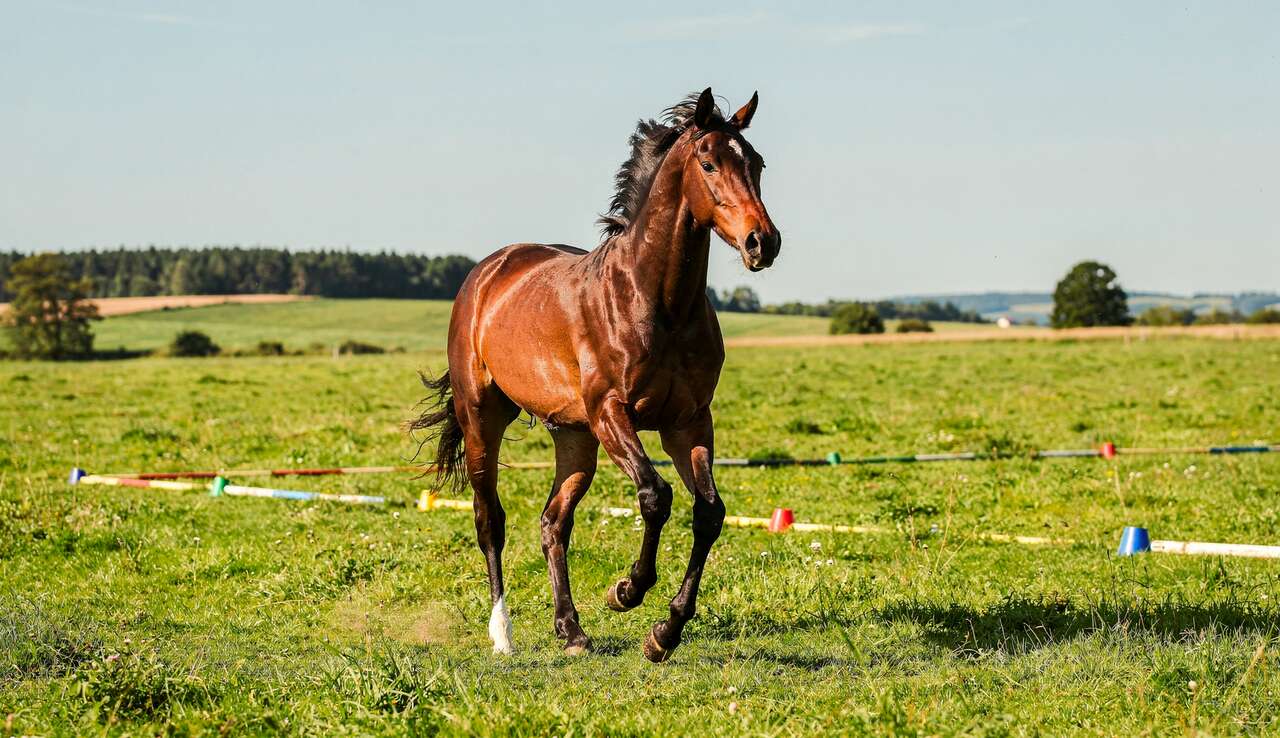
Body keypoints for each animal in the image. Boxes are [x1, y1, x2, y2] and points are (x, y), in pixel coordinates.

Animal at [411, 88, 780, 662]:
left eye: (757, 163)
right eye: (708, 164)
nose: (763, 242)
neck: (656, 301)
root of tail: (487, 272)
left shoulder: (689, 423)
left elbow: (708, 512)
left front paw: (664, 633)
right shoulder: (613, 414)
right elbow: (655, 497)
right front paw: (626, 591)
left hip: (575, 438)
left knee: (553, 522)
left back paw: (571, 630)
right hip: (483, 419)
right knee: (490, 520)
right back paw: (503, 633)